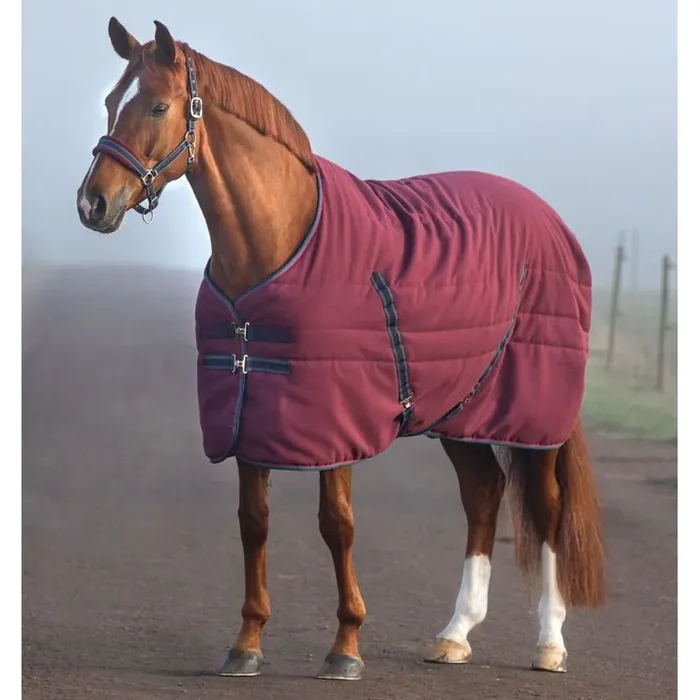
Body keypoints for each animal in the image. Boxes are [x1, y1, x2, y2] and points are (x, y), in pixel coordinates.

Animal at [76, 17, 606, 682]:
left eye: (158, 106)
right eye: (108, 102)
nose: (92, 204)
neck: (278, 243)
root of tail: (551, 220)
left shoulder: (335, 421)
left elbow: (337, 526)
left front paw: (346, 647)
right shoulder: (249, 413)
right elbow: (254, 524)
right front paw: (246, 643)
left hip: (533, 415)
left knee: (547, 507)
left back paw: (550, 643)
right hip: (461, 410)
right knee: (483, 494)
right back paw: (455, 635)